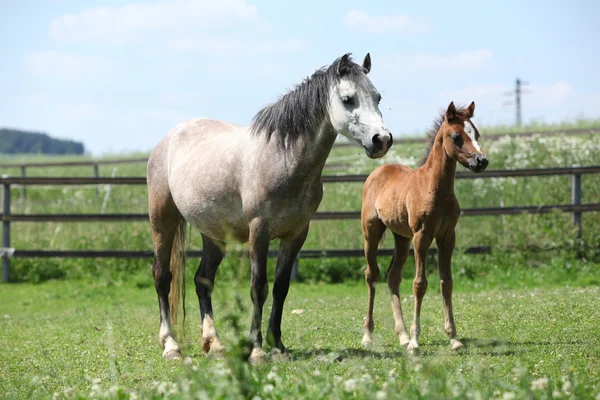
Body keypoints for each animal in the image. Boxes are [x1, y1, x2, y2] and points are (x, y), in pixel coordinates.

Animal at [360, 101, 488, 354]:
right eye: (456, 136)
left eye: (476, 134)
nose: (481, 161)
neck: (436, 189)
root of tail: (378, 171)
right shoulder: (422, 236)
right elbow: (419, 284)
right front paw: (415, 340)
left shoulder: (447, 237)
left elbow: (446, 282)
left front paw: (454, 338)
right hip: (371, 232)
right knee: (372, 275)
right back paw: (368, 336)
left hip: (401, 237)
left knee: (393, 276)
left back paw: (401, 336)